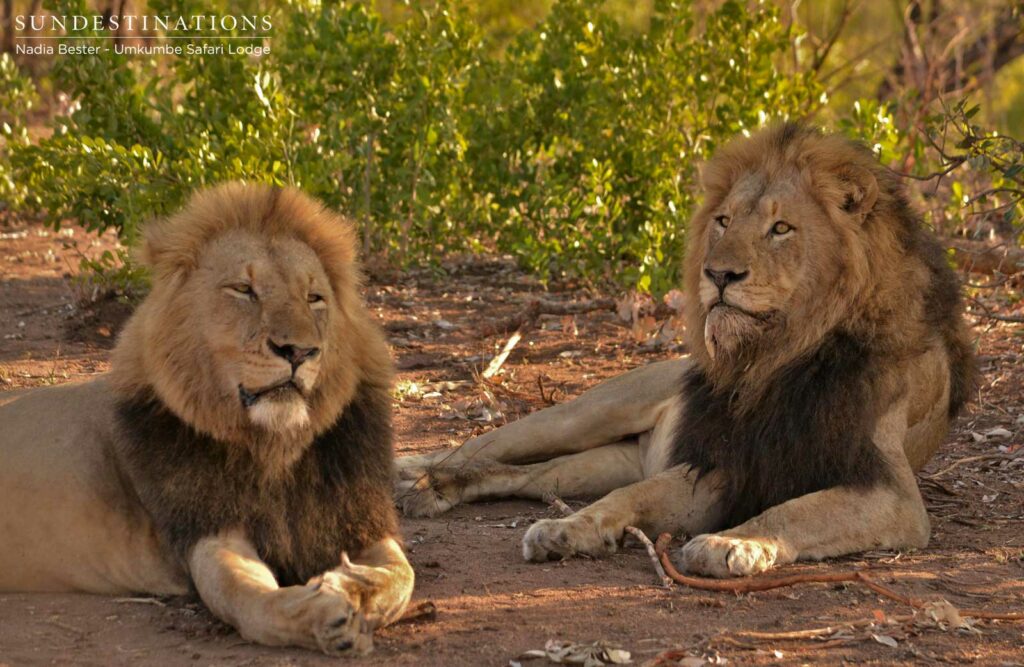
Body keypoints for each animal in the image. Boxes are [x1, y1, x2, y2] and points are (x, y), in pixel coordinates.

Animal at [0, 183, 413, 654]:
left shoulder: (360, 520)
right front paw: (323, 612)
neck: (277, 449)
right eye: (244, 289)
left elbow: (401, 578)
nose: (299, 351)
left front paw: (350, 585)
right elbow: (248, 597)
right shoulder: (209, 531)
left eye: (314, 298)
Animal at [395, 123, 975, 577]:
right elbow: (631, 499)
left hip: (610, 459)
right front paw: (571, 529)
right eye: (724, 221)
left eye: (781, 228)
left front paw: (732, 542)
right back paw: (411, 472)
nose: (717, 274)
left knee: (529, 476)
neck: (776, 356)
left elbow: (794, 511)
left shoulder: (889, 491)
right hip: (584, 414)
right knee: (484, 446)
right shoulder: (720, 463)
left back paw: (438, 489)